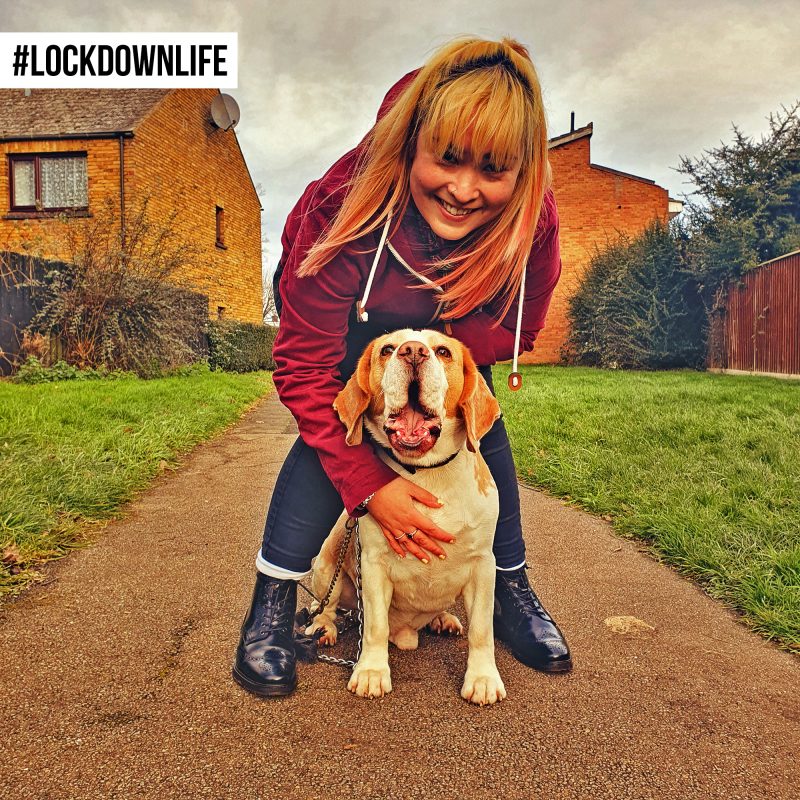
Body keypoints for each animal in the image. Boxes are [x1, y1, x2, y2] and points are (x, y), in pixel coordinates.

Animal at [306, 328, 507, 705]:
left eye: (443, 351)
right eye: (387, 349)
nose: (413, 352)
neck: (427, 472)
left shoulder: (483, 566)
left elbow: (481, 630)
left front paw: (483, 678)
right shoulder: (373, 565)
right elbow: (374, 626)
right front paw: (371, 671)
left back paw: (442, 618)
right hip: (328, 563)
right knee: (329, 606)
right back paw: (323, 626)